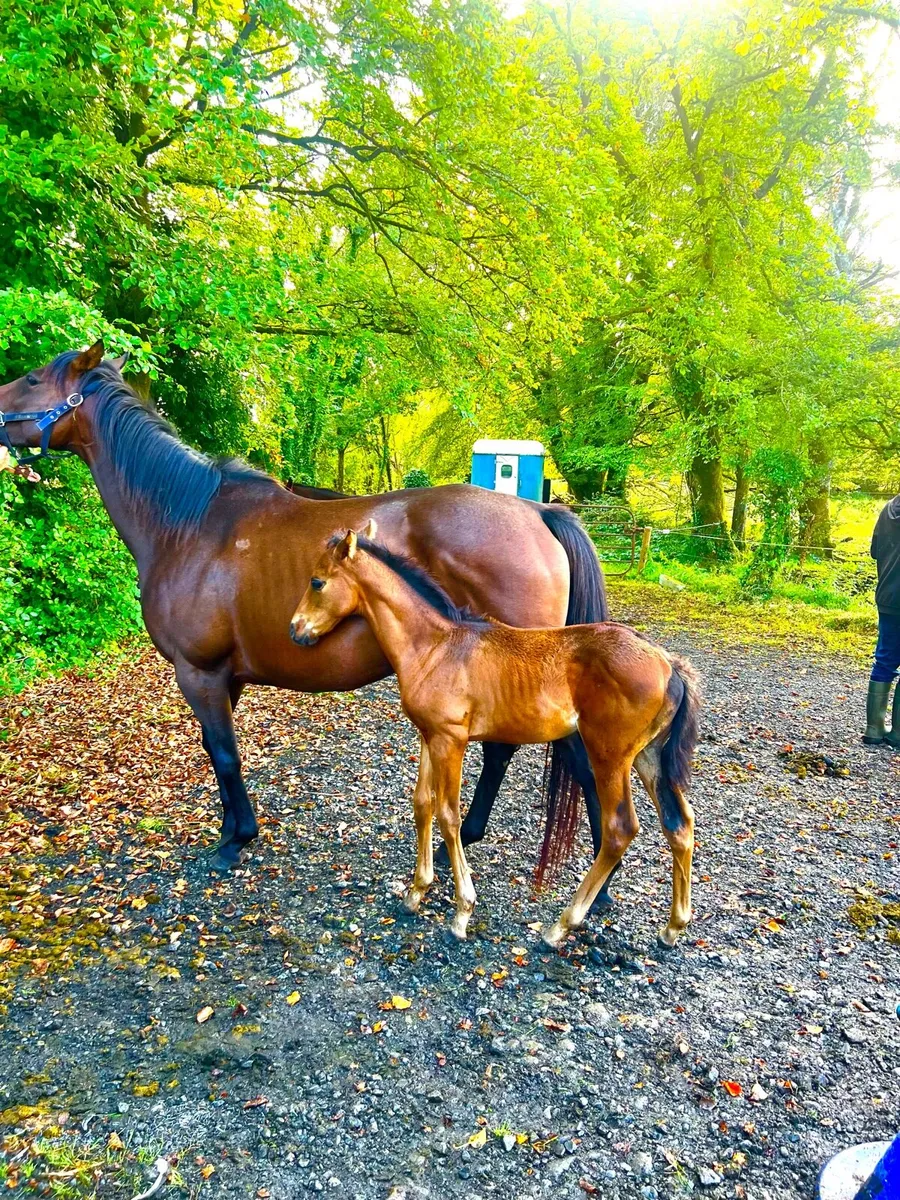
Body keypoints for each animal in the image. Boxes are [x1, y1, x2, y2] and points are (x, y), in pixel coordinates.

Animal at [0, 341, 613, 883]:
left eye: (30, 378)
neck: (187, 524)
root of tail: (538, 512)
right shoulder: (224, 677)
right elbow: (218, 752)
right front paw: (232, 830)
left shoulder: (198, 672)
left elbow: (225, 756)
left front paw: (233, 843)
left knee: (566, 760)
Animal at [290, 524, 700, 947]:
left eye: (317, 581)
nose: (296, 630)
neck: (435, 646)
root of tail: (669, 664)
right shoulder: (429, 735)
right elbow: (422, 804)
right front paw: (416, 893)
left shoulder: (451, 740)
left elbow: (448, 815)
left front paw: (461, 912)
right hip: (649, 756)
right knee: (680, 824)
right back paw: (673, 927)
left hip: (610, 755)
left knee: (620, 829)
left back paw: (561, 925)